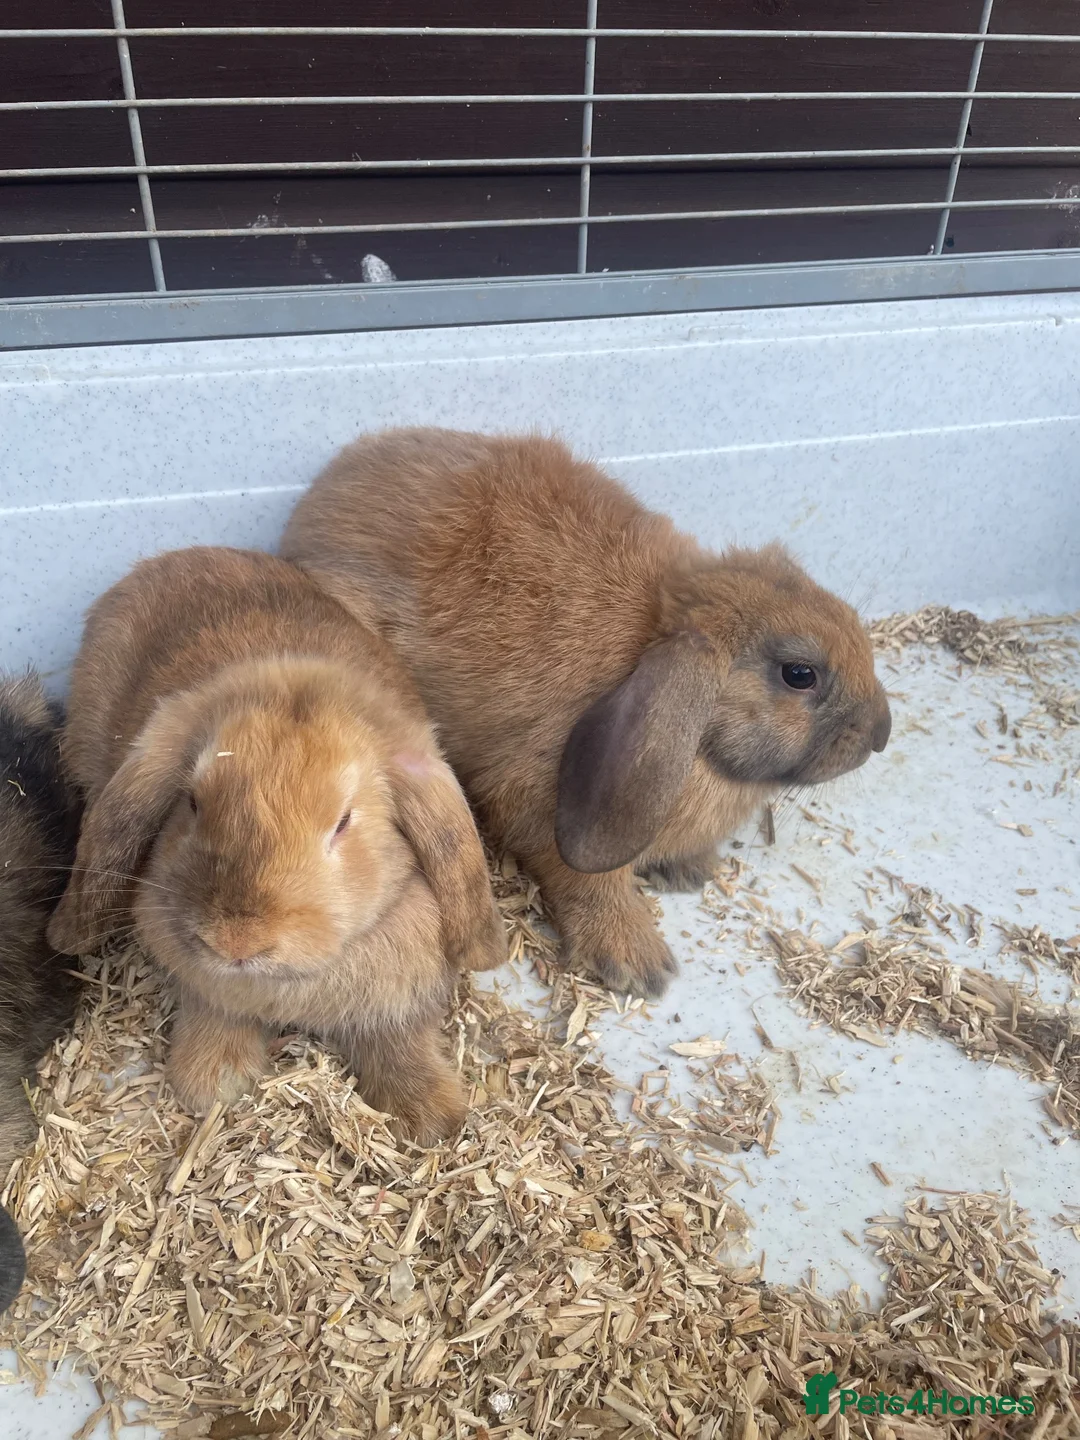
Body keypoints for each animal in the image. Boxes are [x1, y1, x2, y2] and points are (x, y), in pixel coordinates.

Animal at [46, 547, 507, 1145]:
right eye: (192, 802)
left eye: (343, 822)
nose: (235, 942)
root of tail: (167, 557)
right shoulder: (207, 988)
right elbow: (215, 1016)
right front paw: (212, 1082)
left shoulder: (399, 1001)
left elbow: (397, 1039)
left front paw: (428, 1117)